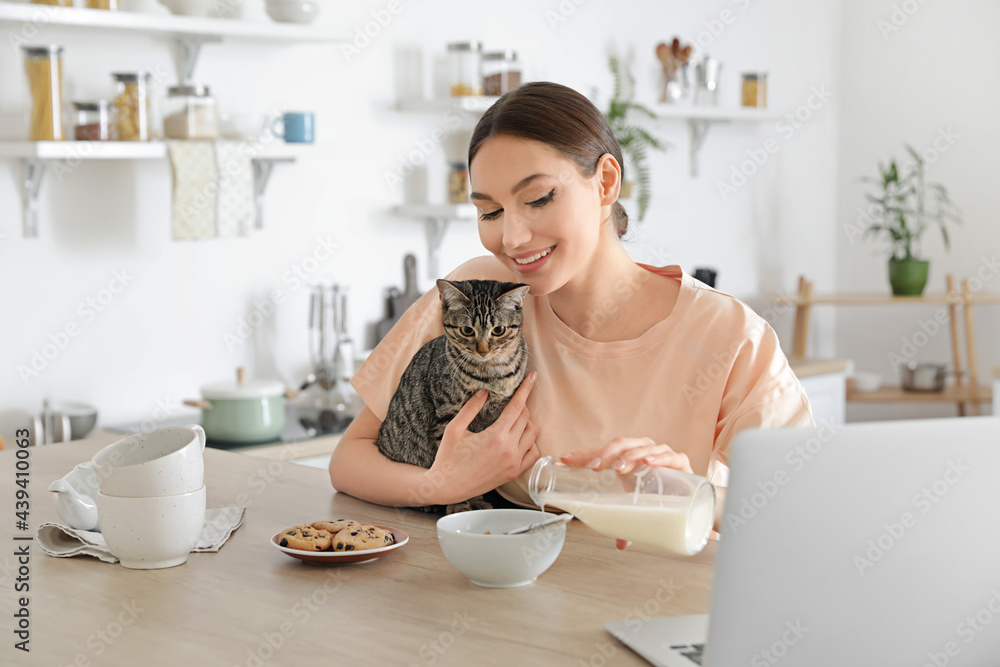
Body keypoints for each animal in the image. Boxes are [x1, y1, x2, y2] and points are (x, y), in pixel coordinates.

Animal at [376, 280, 532, 516]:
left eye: (499, 330)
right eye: (467, 330)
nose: (483, 351)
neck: (491, 375)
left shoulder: (494, 415)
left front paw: (476, 502)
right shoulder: (447, 418)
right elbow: (456, 474)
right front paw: (460, 505)